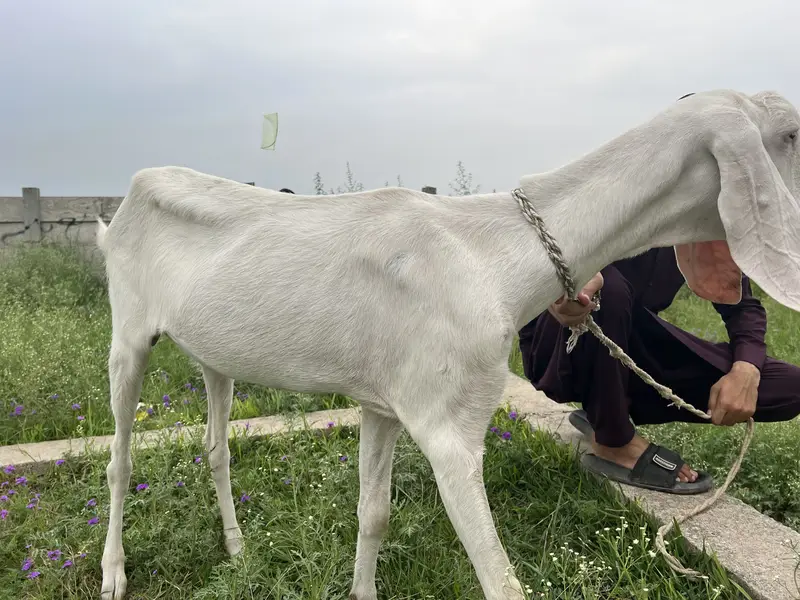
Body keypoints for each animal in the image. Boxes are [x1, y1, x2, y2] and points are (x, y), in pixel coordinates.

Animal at [96, 89, 800, 599]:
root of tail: (120, 204)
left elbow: (373, 514)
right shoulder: (450, 429)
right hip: (127, 332)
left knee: (216, 447)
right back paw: (114, 575)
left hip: (213, 355)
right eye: (790, 132)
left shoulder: (383, 403)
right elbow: (500, 579)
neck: (493, 252)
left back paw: (237, 549)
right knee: (119, 461)